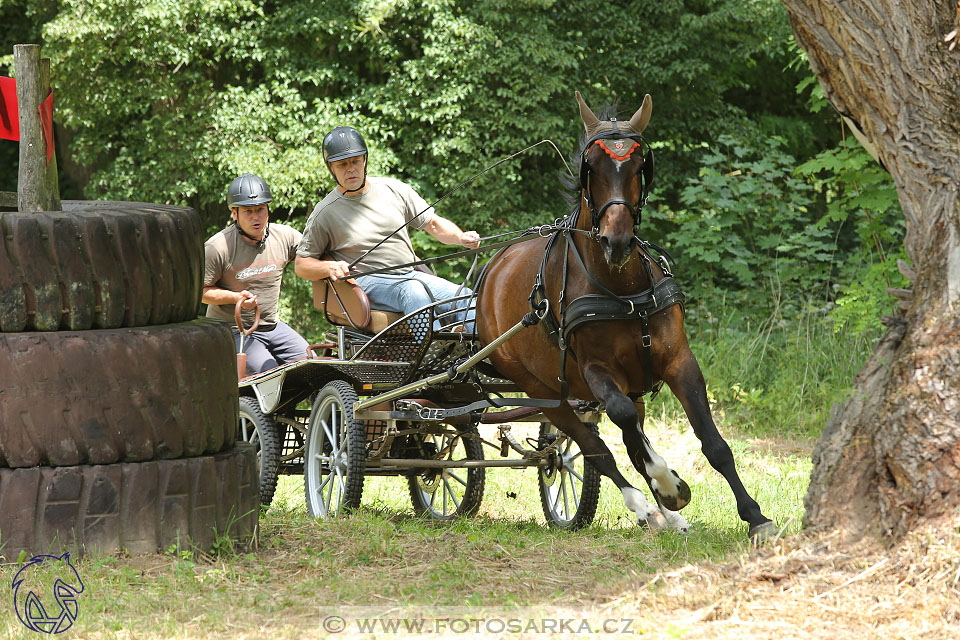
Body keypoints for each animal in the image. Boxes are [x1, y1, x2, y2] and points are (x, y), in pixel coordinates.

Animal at [476, 90, 776, 540]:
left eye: (639, 166)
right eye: (591, 167)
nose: (615, 242)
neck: (622, 291)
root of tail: (493, 269)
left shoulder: (679, 361)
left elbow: (713, 444)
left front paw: (754, 516)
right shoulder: (597, 372)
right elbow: (619, 426)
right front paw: (667, 484)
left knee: (626, 442)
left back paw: (668, 512)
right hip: (543, 391)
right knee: (596, 449)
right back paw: (646, 505)